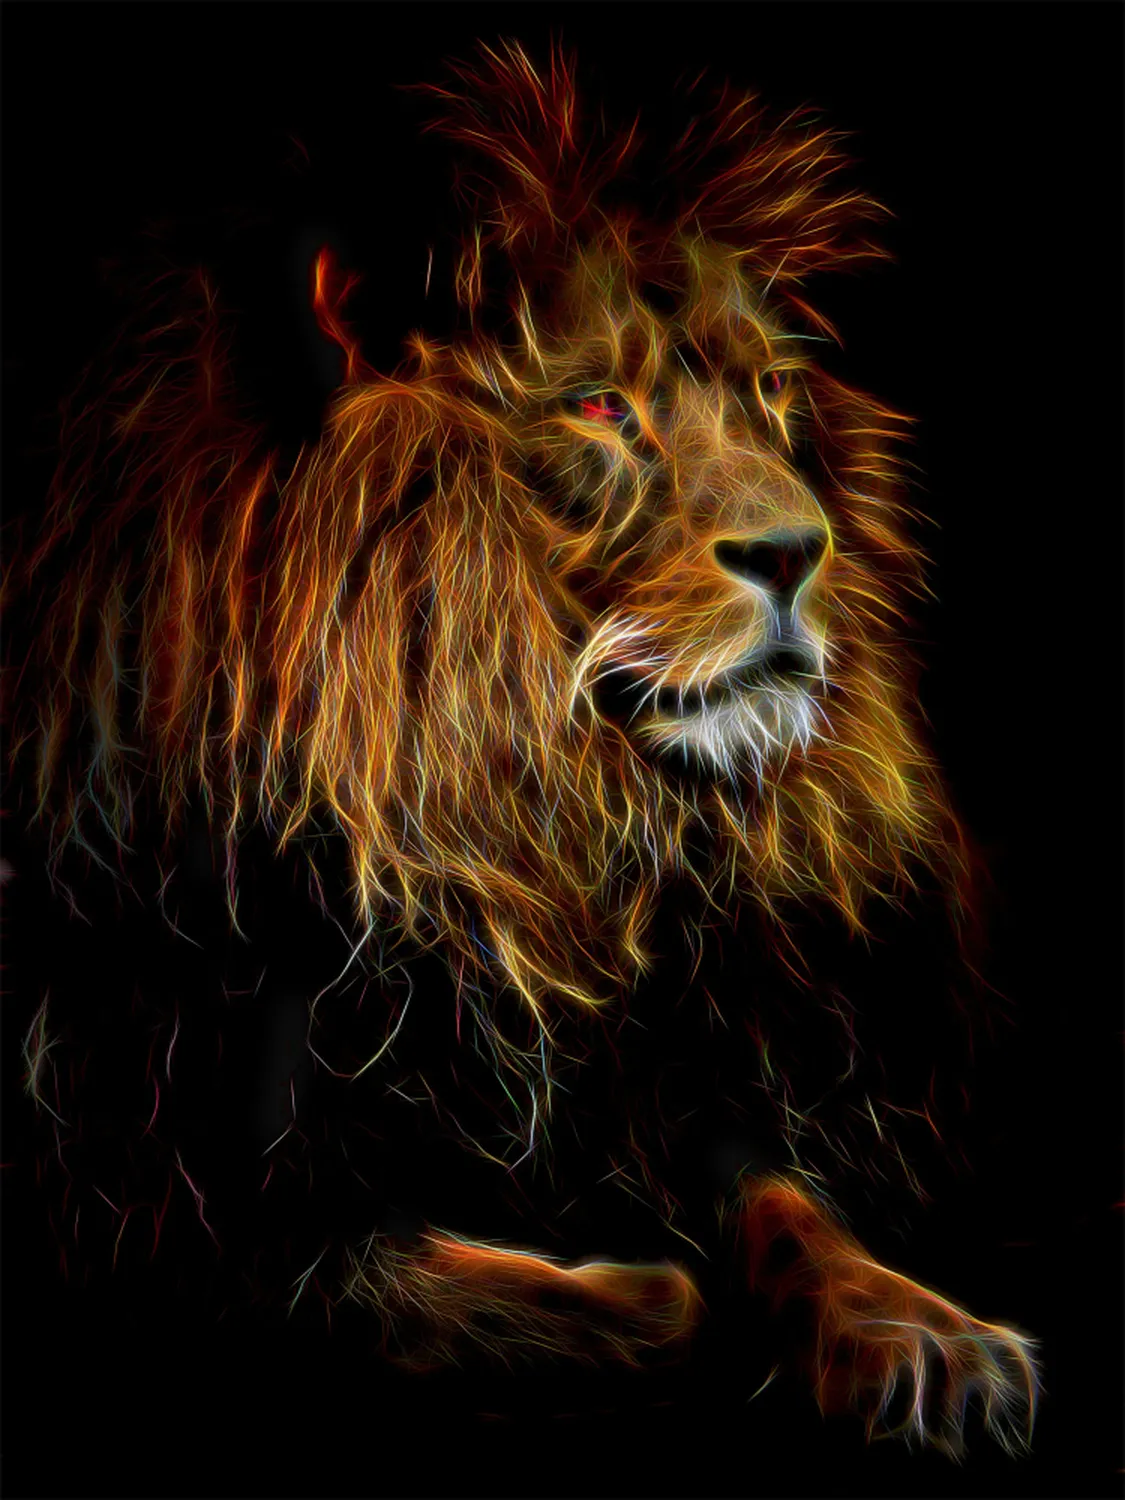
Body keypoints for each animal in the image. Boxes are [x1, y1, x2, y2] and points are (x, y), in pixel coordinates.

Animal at [6, 41, 1039, 1457]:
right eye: (599, 404)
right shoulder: (165, 1188)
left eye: (772, 391)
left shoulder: (667, 1055)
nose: (798, 552)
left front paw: (927, 1335)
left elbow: (785, 1201)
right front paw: (641, 1290)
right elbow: (427, 1285)